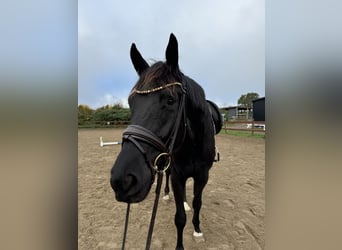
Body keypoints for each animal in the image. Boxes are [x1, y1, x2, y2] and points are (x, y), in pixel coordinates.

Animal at [109, 33, 222, 250]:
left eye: (170, 100)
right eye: (131, 103)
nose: (122, 180)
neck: (192, 144)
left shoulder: (203, 176)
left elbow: (197, 203)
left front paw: (197, 230)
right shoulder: (177, 175)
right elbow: (179, 217)